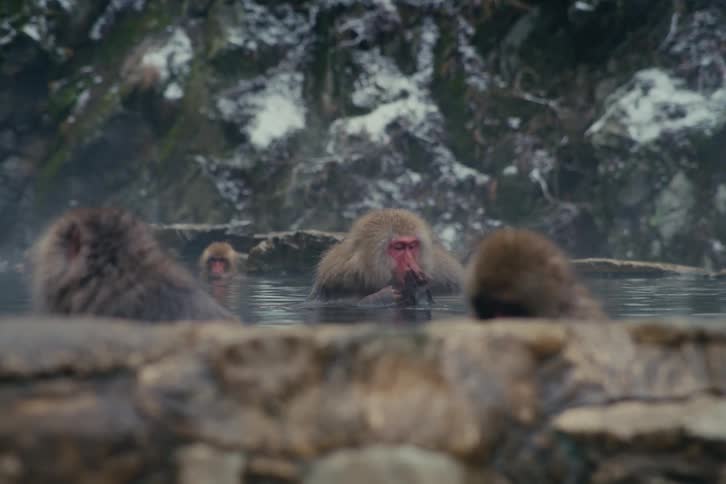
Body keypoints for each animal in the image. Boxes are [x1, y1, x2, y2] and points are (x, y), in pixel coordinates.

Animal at [309, 209, 464, 306]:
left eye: (412, 246)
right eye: (399, 247)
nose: (411, 263)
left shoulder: (446, 276)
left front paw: (419, 291)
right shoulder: (333, 279)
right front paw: (382, 298)